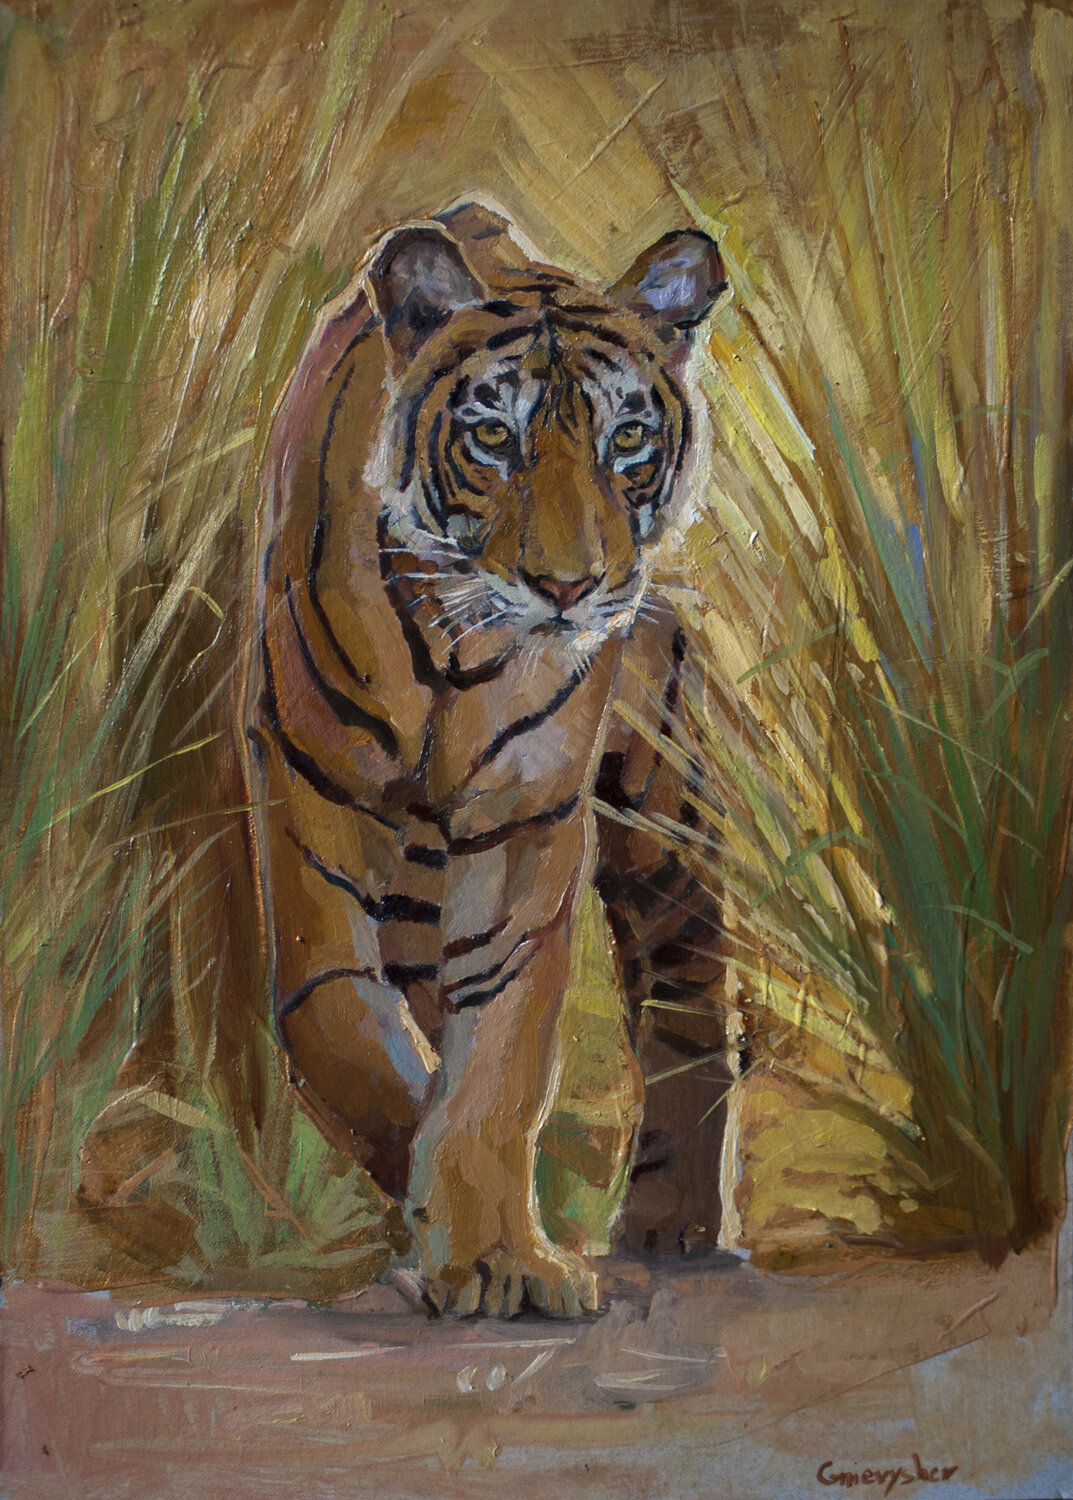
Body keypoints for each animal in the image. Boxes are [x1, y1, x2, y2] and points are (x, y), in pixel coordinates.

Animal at [243, 201, 731, 1318]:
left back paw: (671, 1225)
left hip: (663, 811)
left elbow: (497, 1063)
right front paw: (449, 1233)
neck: (450, 665)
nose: (568, 586)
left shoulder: (524, 831)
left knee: (689, 998)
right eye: (492, 437)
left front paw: (497, 1254)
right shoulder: (312, 824)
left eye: (627, 438)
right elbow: (347, 1037)